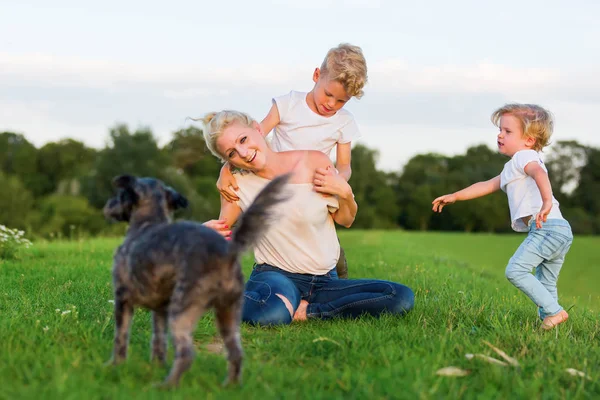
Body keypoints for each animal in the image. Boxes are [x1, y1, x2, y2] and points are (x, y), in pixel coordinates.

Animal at [103, 173, 290, 388]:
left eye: (121, 194)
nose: (107, 205)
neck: (147, 223)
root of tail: (227, 251)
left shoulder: (122, 299)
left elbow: (120, 336)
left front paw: (114, 365)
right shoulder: (160, 310)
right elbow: (158, 341)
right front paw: (157, 366)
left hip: (182, 310)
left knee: (187, 353)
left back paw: (166, 386)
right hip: (228, 311)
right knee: (236, 352)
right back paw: (230, 386)